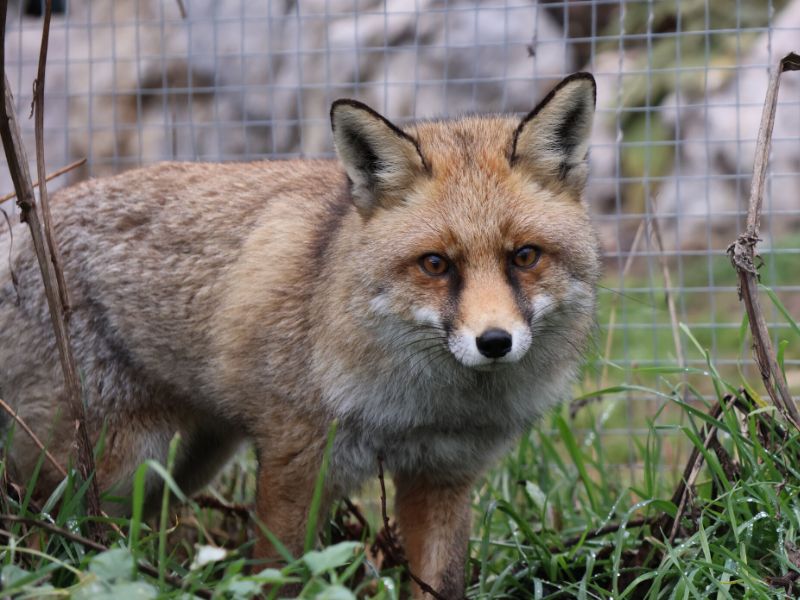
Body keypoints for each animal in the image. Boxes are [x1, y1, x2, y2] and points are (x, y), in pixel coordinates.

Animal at [0, 72, 599, 598]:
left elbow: (441, 583)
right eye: (435, 264)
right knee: (47, 537)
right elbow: (278, 578)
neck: (421, 410)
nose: (494, 341)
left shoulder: (443, 477)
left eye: (525, 257)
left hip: (183, 465)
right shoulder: (295, 466)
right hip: (106, 467)